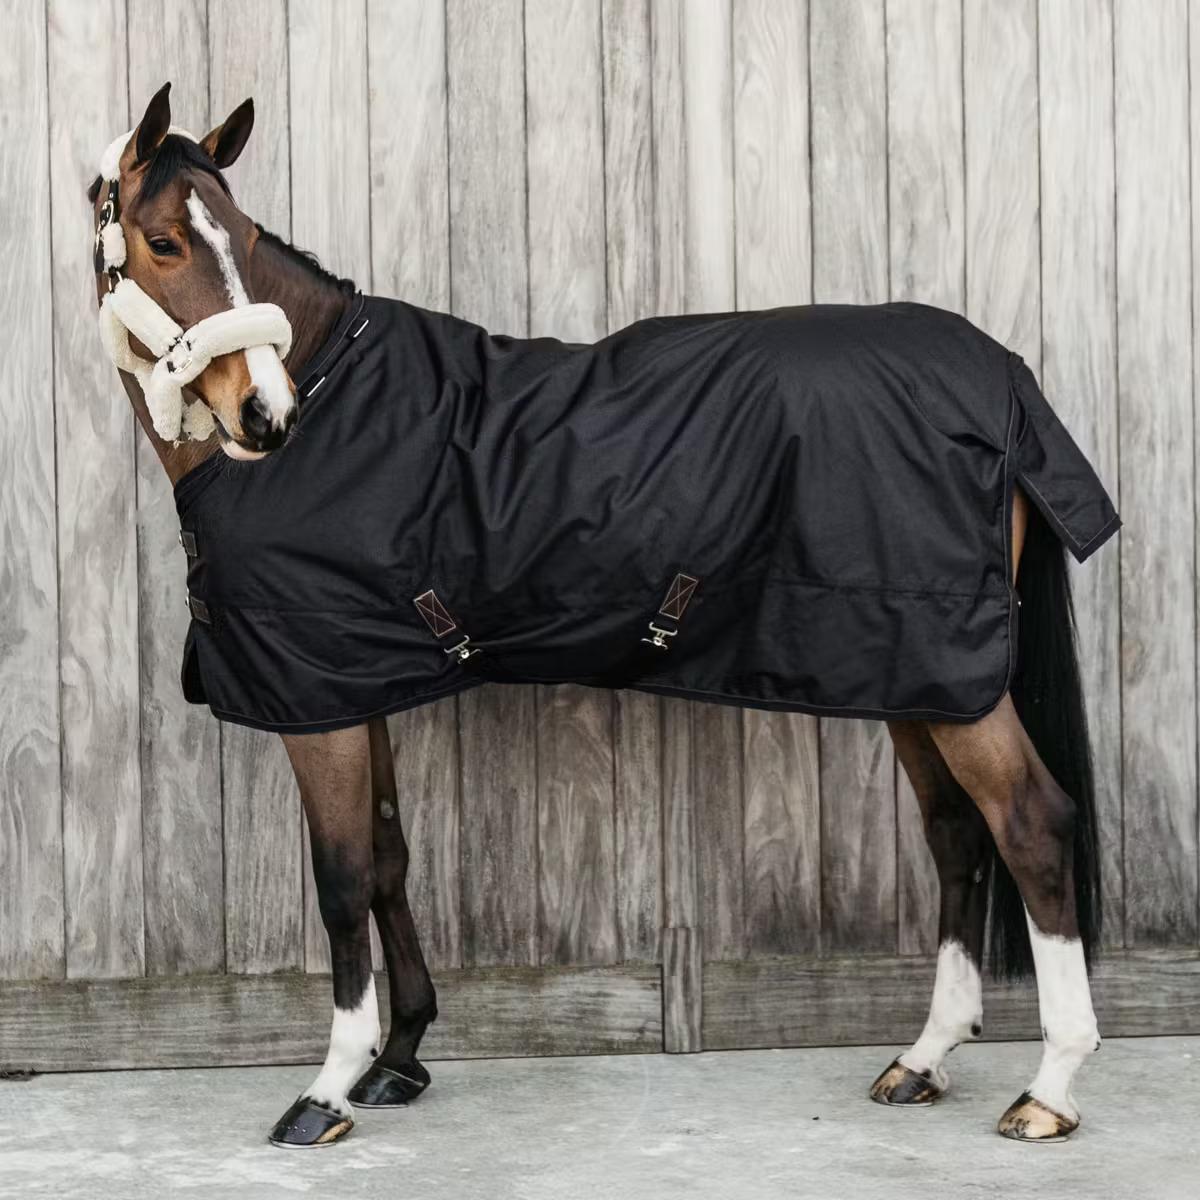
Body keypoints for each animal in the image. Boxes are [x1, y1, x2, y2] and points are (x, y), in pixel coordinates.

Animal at [88, 83, 1117, 1148]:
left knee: (1031, 823)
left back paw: (1050, 1087)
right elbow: (387, 859)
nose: (265, 414)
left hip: (952, 679)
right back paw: (924, 1057)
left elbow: (340, 881)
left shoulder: (317, 705)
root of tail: (1001, 374)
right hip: (914, 673)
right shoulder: (355, 684)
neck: (336, 406)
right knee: (958, 832)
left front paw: (329, 1087)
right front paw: (402, 1057)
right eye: (165, 242)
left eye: (242, 239)